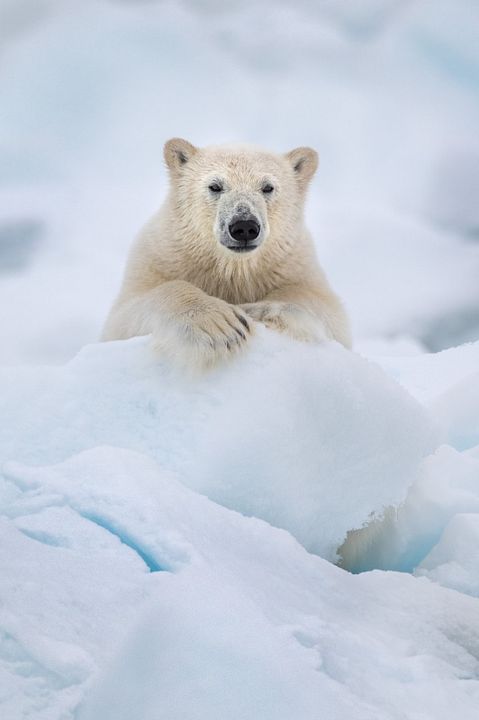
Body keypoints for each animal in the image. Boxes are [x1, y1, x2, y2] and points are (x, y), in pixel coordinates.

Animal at [101, 138, 351, 370]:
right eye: (215, 186)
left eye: (268, 187)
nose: (244, 226)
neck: (232, 268)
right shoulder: (159, 258)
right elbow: (124, 315)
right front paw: (221, 326)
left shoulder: (293, 263)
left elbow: (327, 311)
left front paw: (257, 310)